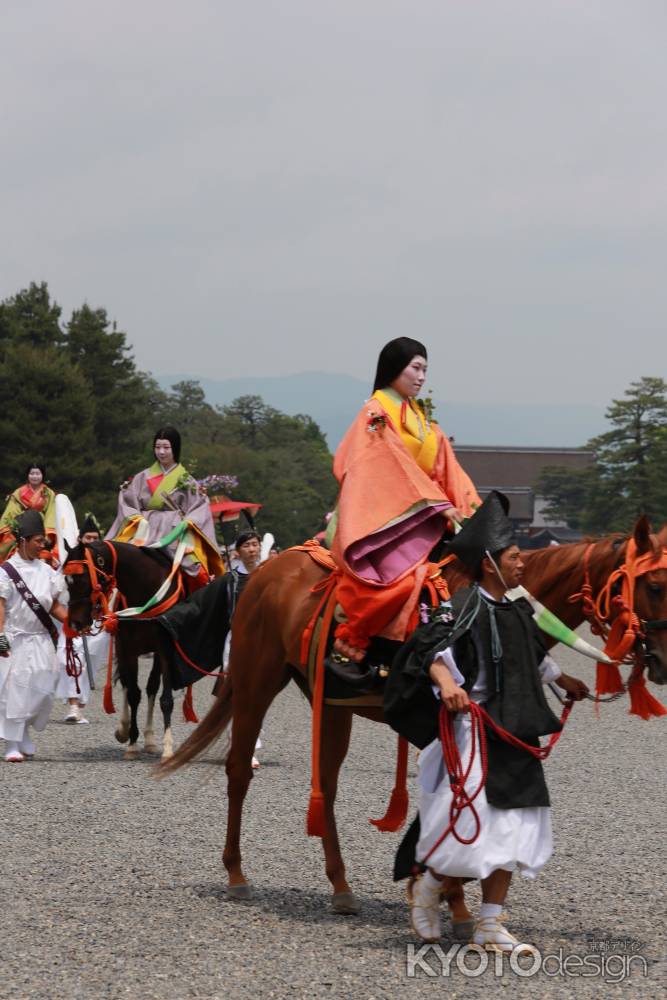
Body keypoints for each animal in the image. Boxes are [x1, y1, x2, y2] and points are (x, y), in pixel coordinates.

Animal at [158, 520, 667, 916]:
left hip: (330, 703)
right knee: (239, 771)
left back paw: (340, 886)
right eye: (656, 586)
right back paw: (237, 874)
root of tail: (265, 572)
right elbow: (456, 799)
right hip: (256, 681)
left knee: (326, 786)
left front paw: (443, 889)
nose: (661, 659)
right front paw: (453, 898)